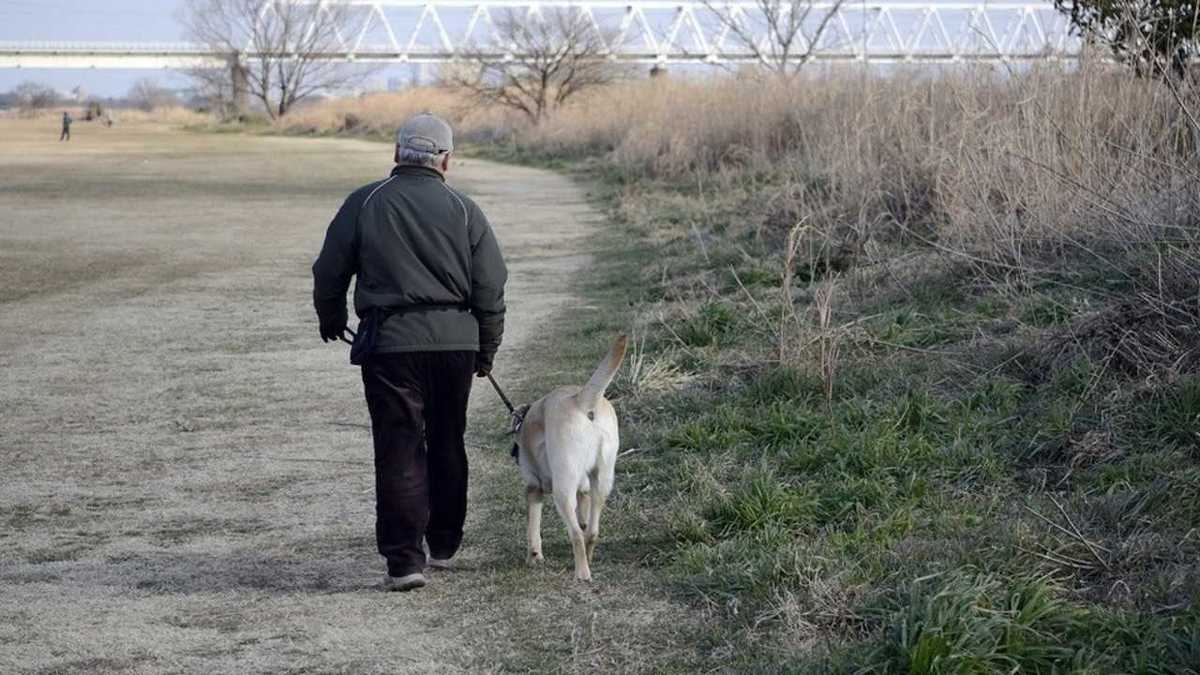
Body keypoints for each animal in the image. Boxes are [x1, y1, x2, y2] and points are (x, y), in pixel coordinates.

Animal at [513, 333, 628, 581]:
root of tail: (581, 400)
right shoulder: (583, 488)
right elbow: (583, 518)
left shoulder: (533, 488)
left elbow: (533, 528)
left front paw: (533, 557)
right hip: (602, 480)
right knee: (591, 531)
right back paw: (589, 558)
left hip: (562, 488)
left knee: (575, 534)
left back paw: (582, 573)